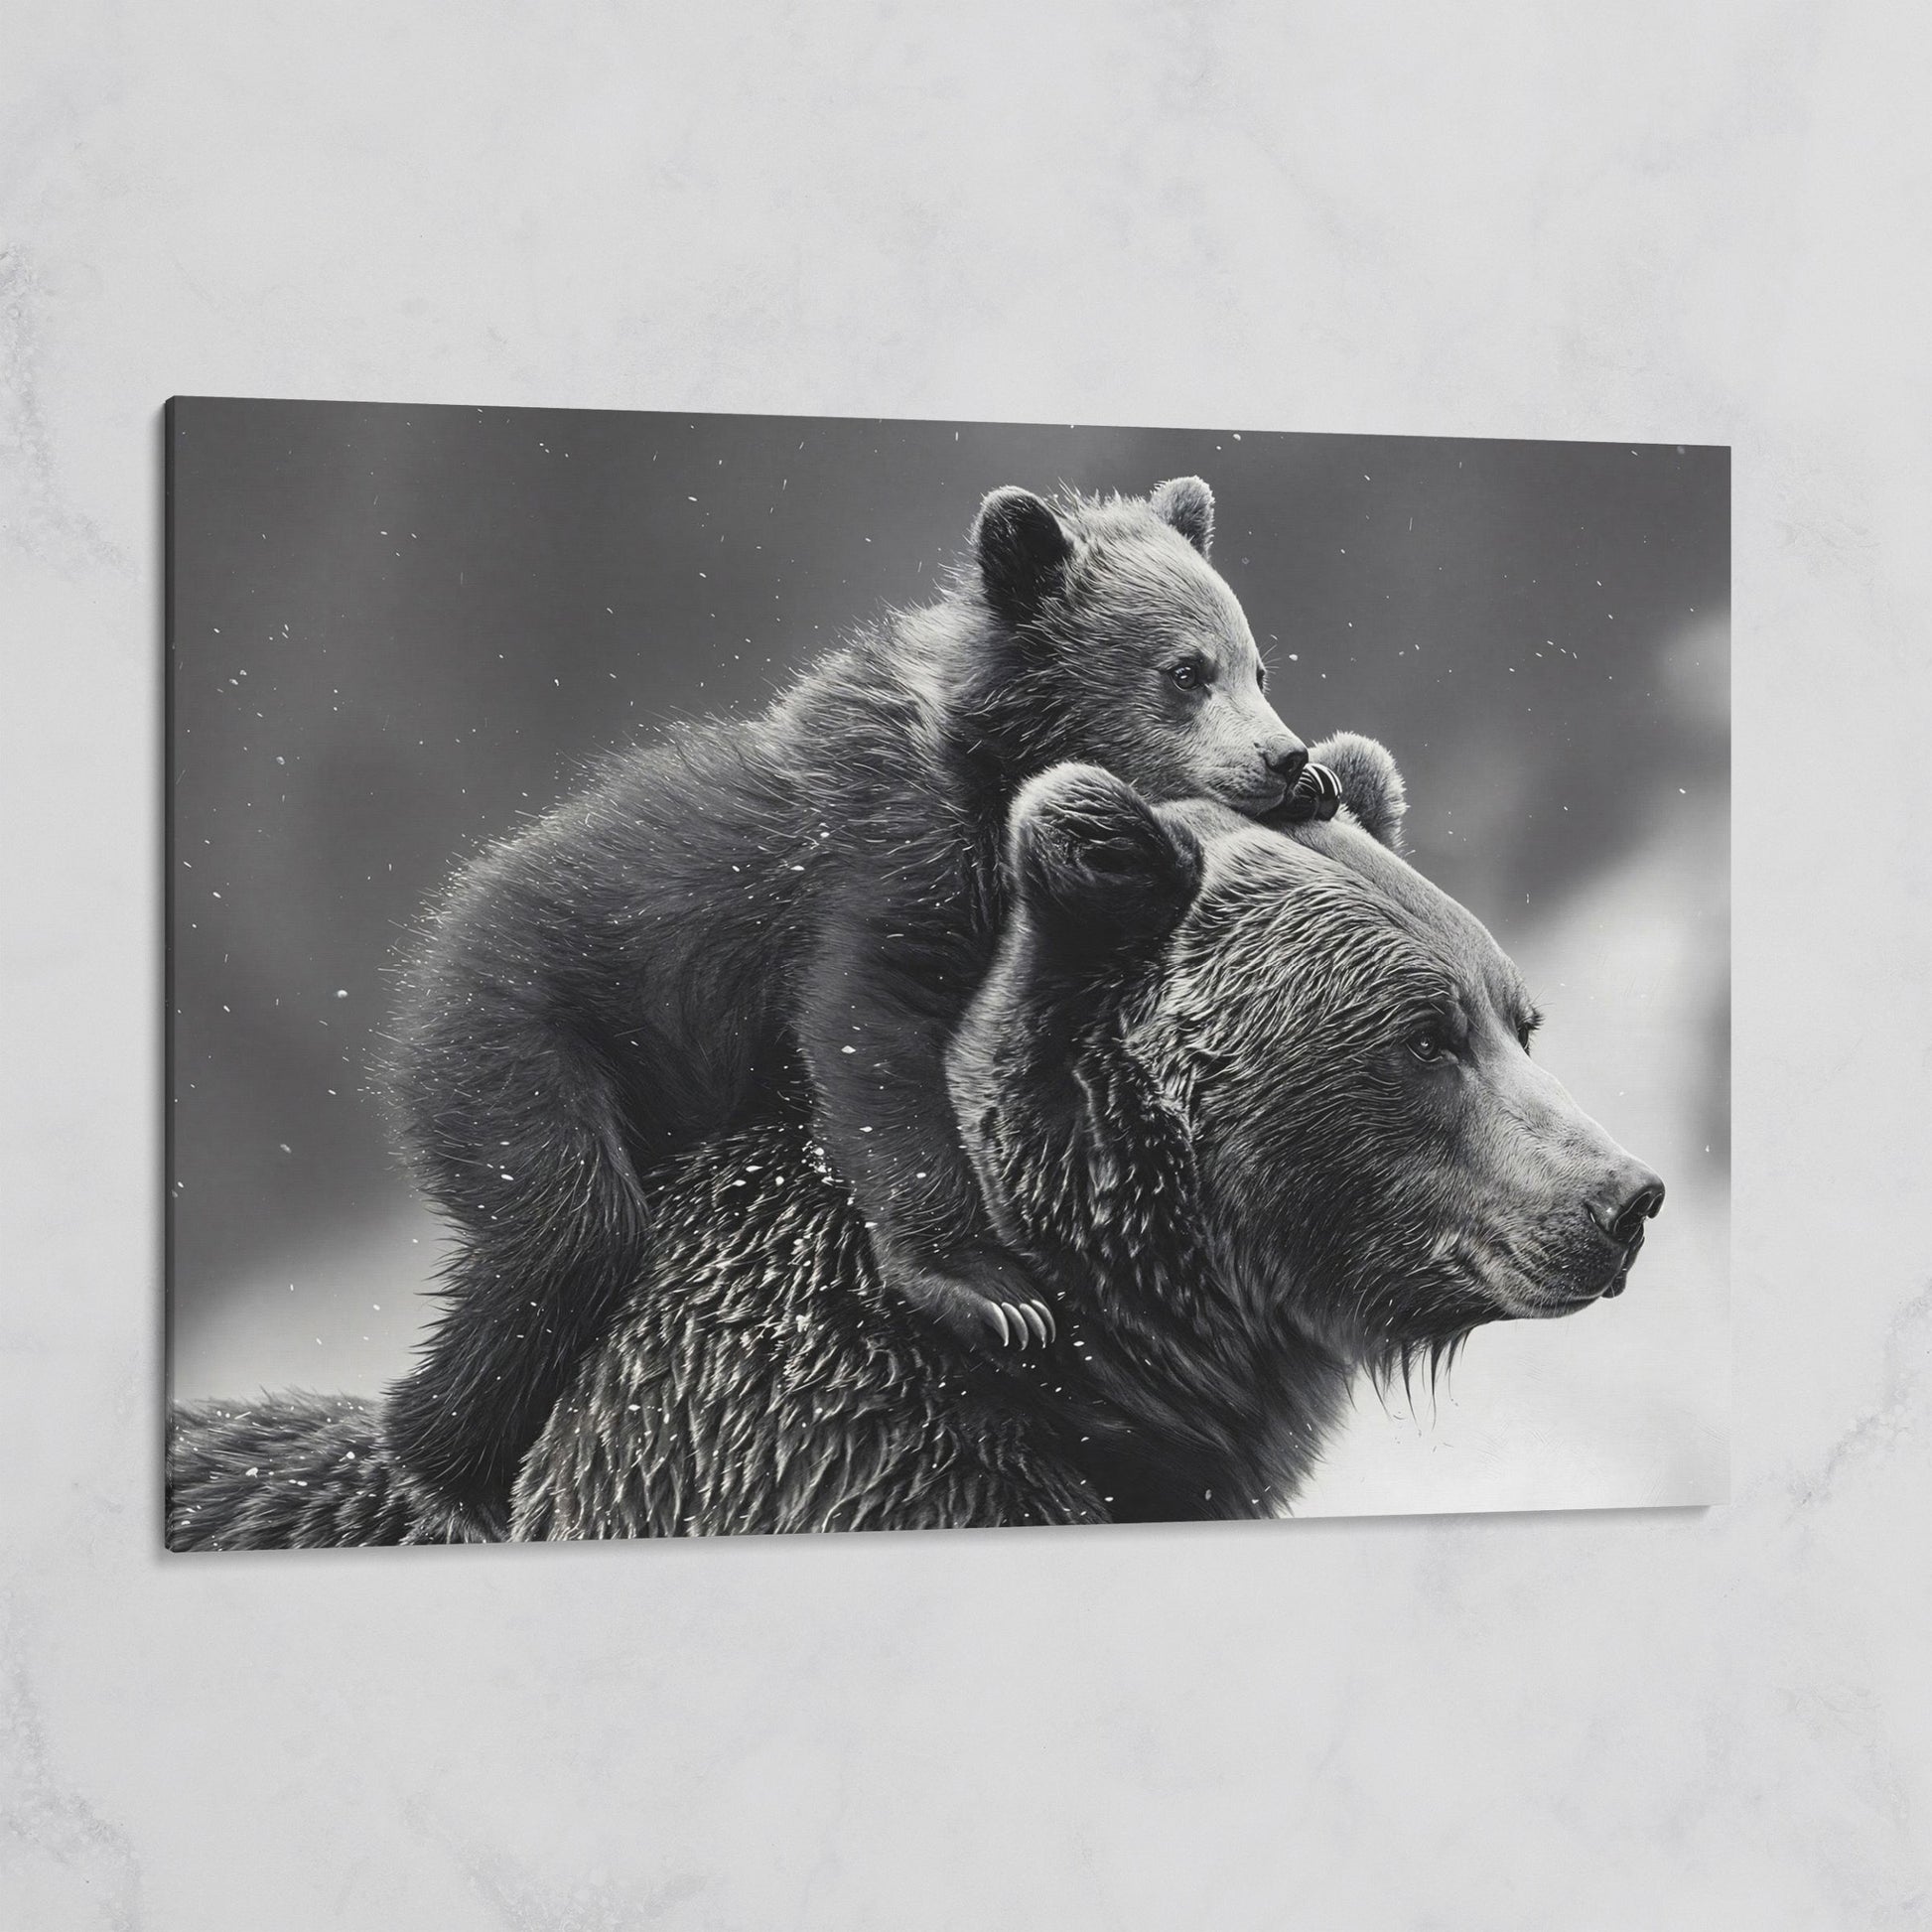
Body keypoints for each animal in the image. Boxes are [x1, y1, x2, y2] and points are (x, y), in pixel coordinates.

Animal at [380, 475, 1336, 1530]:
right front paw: (990, 1291)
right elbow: (873, 1040)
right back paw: (446, 1468)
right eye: (1184, 671)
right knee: (567, 1232)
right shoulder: (885, 859)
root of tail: (436, 940)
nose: (1283, 756)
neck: (992, 765)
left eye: (1256, 664)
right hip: (525, 1034)